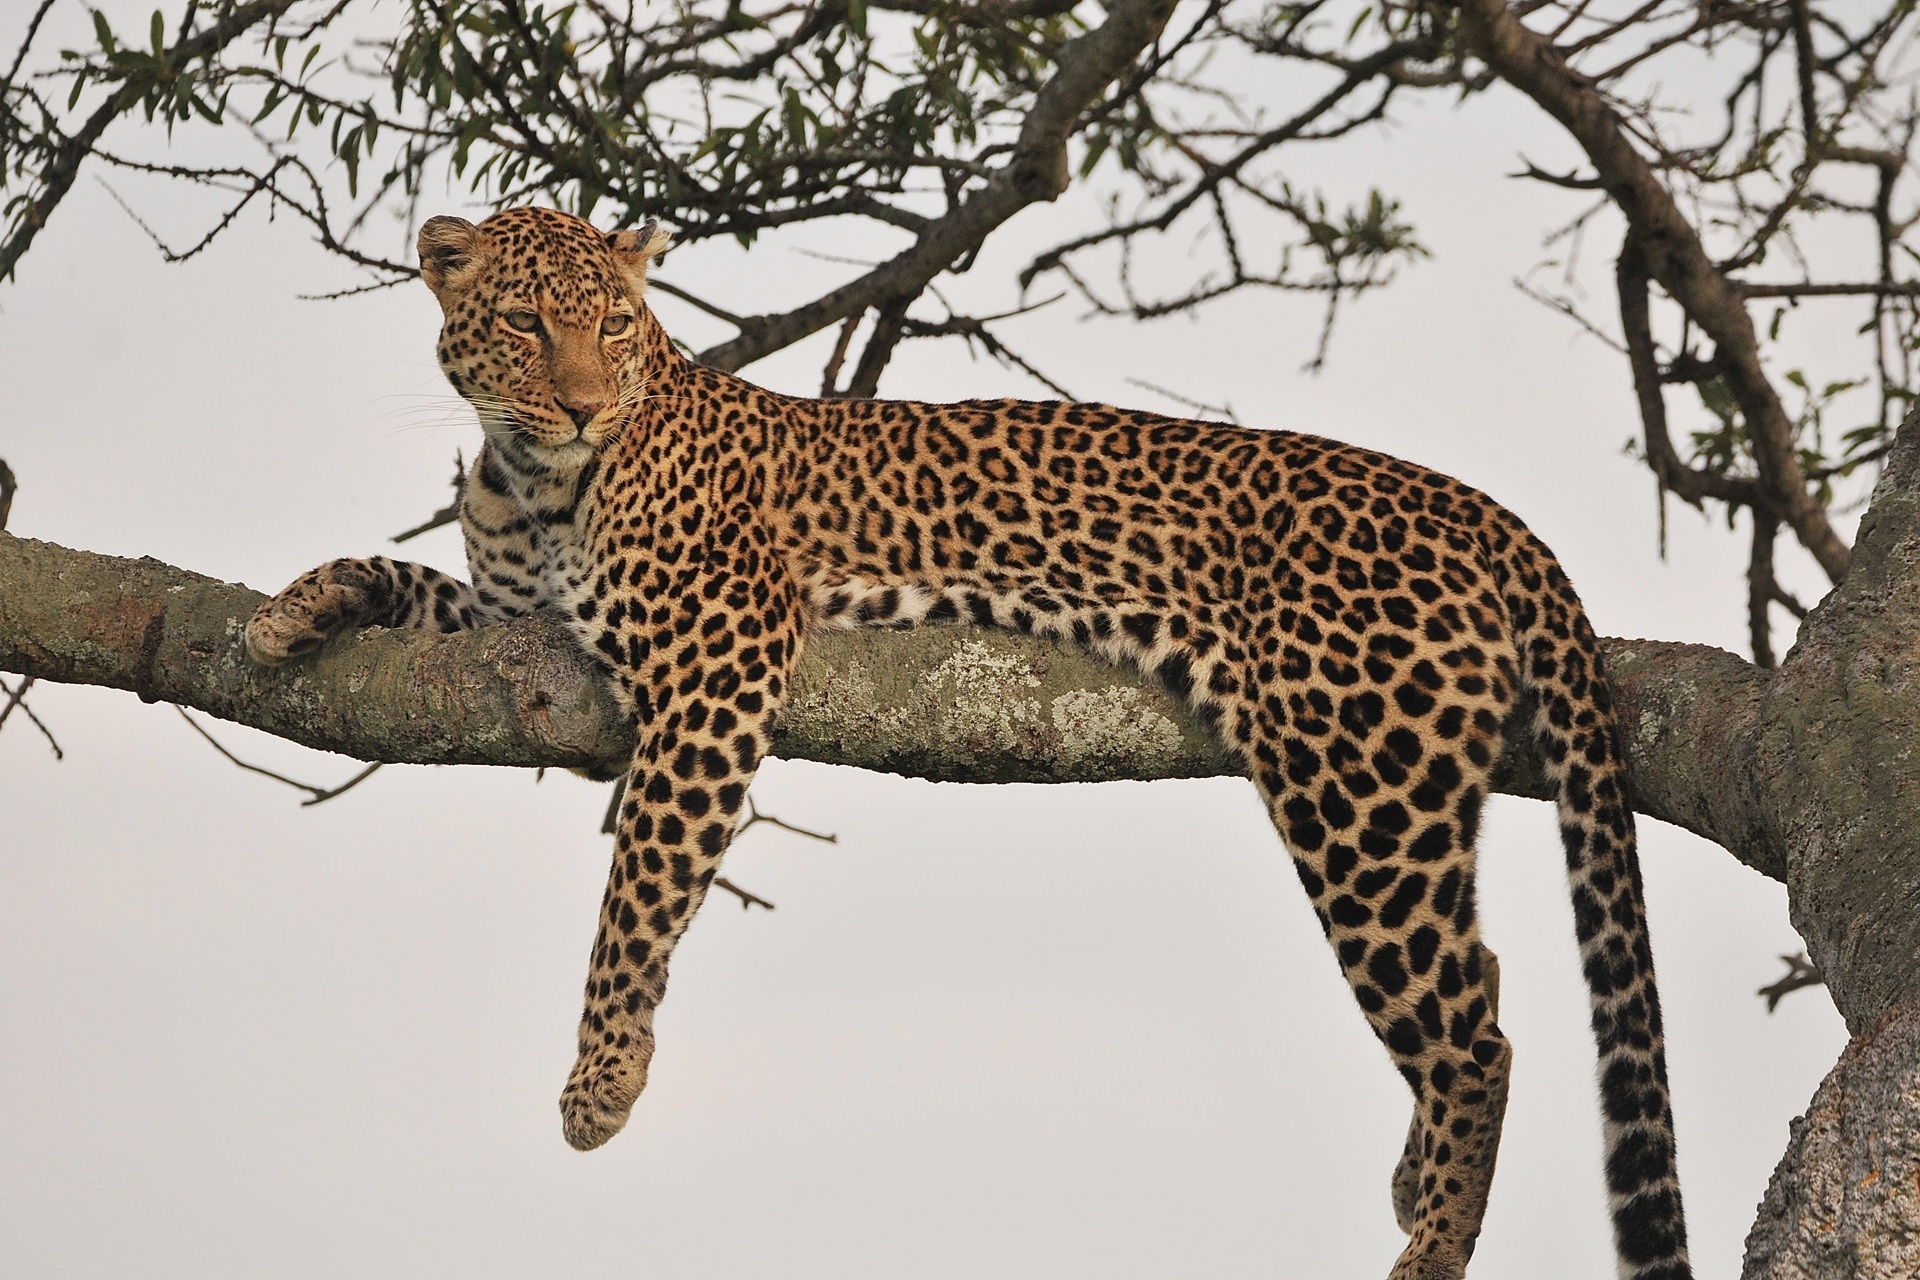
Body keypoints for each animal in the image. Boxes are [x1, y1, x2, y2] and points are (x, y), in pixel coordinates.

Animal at [246, 205, 1691, 1280]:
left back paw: (1432, 1245)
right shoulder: (518, 637)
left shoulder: (714, 662)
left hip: (1358, 788)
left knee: (1478, 1034)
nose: (591, 408)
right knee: (1480, 979)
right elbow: (399, 574)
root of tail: (1475, 505)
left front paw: (603, 1081)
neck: (533, 482)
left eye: (613, 323)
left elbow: (640, 884)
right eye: (528, 324)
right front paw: (286, 610)